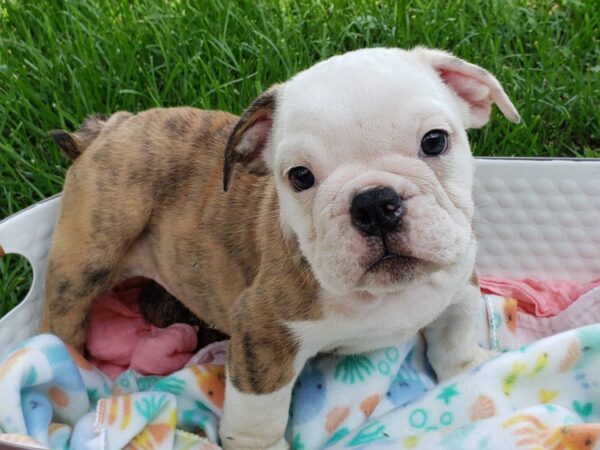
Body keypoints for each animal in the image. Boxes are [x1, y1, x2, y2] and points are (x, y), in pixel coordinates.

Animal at [42, 47, 520, 448]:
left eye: (435, 141)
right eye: (300, 177)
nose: (373, 203)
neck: (387, 294)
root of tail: (110, 128)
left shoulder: (459, 282)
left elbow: (454, 336)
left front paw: (470, 370)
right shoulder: (263, 333)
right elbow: (259, 411)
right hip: (87, 257)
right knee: (62, 320)